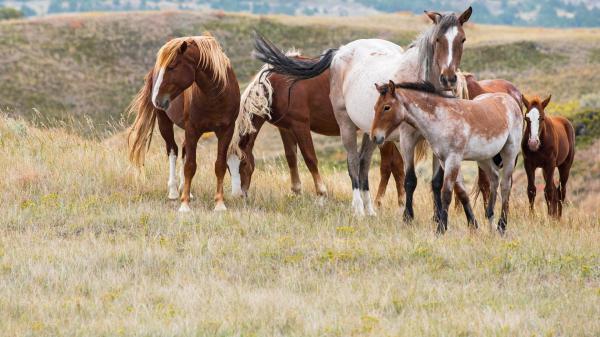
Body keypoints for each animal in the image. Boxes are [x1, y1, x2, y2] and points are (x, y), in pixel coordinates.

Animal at [127, 34, 240, 213]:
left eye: (172, 66)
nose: (156, 99)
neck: (216, 96)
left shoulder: (226, 131)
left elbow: (219, 165)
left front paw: (219, 204)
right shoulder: (192, 129)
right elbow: (190, 166)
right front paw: (184, 205)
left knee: (184, 150)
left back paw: (185, 190)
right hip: (164, 123)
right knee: (172, 150)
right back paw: (174, 191)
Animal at [253, 7, 474, 218]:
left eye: (462, 39)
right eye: (438, 39)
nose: (448, 78)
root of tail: (340, 52)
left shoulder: (437, 140)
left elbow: (437, 182)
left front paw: (438, 219)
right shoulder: (406, 139)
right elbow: (410, 179)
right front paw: (408, 217)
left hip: (371, 133)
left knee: (363, 164)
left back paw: (370, 210)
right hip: (346, 125)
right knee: (352, 163)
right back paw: (359, 209)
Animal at [372, 81, 524, 234]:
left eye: (387, 107)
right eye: (375, 107)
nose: (375, 137)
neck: (442, 119)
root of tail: (510, 100)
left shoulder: (453, 159)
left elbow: (446, 193)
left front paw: (441, 228)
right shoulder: (444, 160)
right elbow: (461, 191)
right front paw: (472, 225)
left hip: (509, 154)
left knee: (505, 186)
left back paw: (501, 226)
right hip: (484, 158)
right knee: (494, 179)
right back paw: (490, 218)